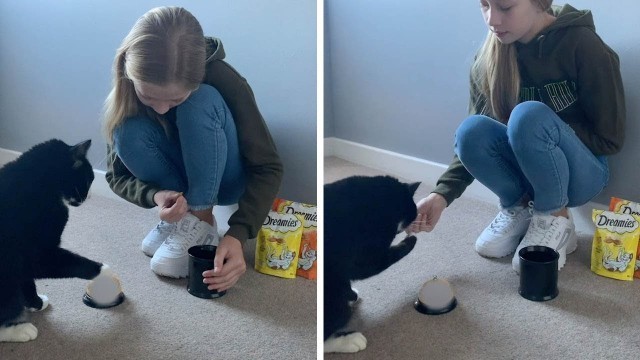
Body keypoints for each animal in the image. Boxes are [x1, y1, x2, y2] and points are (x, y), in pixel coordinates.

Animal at [0, 139, 109, 344]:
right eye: (89, 179)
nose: (89, 196)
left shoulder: (23, 261)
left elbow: (27, 281)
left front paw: (36, 302)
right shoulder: (38, 254)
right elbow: (73, 263)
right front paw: (105, 272)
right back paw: (20, 330)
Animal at [324, 176, 420, 352]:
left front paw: (352, 294)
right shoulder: (364, 257)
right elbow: (378, 261)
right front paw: (410, 241)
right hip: (333, 297)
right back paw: (350, 341)